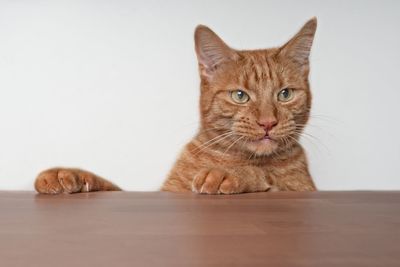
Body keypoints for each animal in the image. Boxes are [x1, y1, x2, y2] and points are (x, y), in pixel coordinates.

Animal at [34, 18, 318, 195]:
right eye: (240, 96)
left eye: (285, 94)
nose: (268, 122)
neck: (229, 156)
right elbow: (108, 184)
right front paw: (66, 174)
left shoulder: (303, 190)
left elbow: (270, 180)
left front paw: (229, 174)